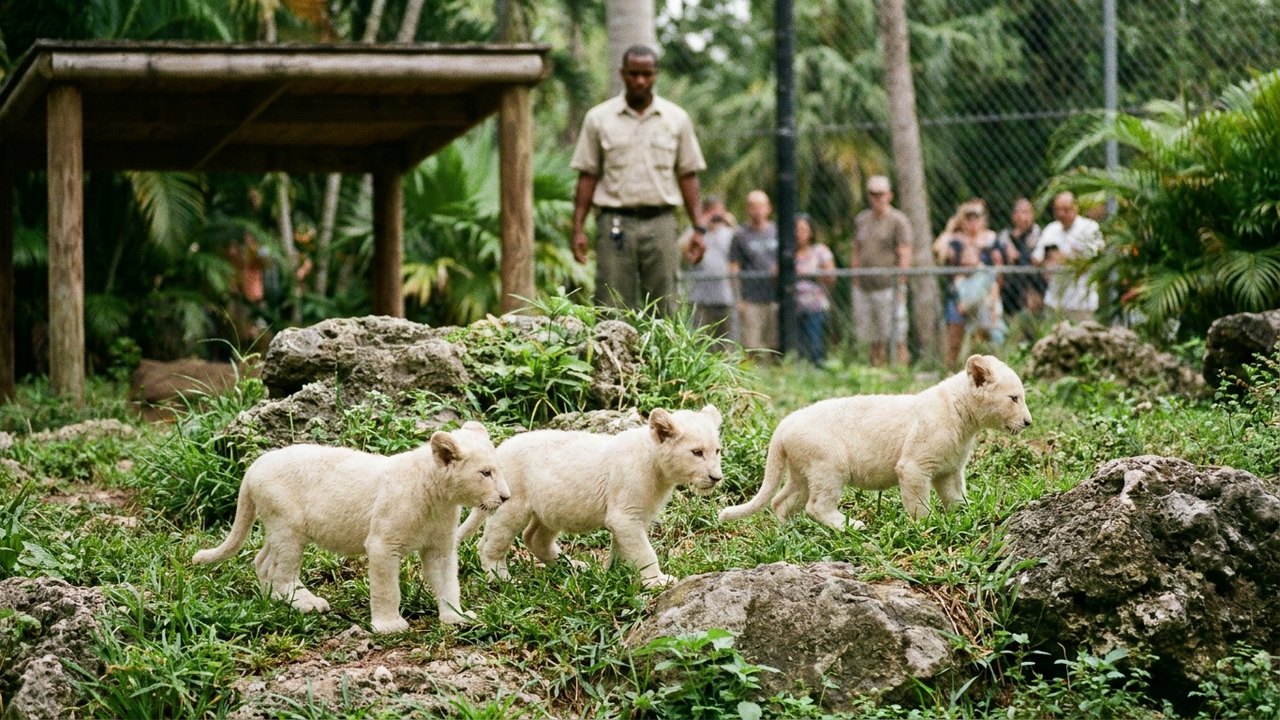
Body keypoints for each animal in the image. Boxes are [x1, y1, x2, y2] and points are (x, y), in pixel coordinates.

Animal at [192, 421, 508, 633]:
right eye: (485, 473)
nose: (506, 497)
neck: (440, 498)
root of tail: (254, 466)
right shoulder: (382, 543)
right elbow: (387, 588)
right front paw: (388, 625)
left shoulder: (440, 546)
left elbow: (447, 582)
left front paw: (456, 617)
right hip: (288, 528)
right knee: (279, 572)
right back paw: (307, 603)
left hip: (279, 527)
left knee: (262, 561)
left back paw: (276, 599)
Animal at [457, 406, 724, 588]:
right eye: (696, 452)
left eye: (717, 450)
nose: (716, 477)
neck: (657, 468)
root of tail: (498, 451)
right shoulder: (625, 514)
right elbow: (643, 550)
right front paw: (657, 580)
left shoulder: (631, 516)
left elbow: (623, 547)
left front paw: (614, 574)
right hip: (511, 503)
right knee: (490, 543)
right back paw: (501, 578)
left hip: (551, 507)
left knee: (534, 538)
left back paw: (574, 566)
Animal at [719, 354, 1031, 530]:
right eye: (1014, 398)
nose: (1028, 422)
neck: (964, 417)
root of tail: (783, 426)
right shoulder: (913, 466)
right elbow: (918, 502)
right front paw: (926, 526)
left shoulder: (949, 470)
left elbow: (956, 497)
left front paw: (965, 516)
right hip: (829, 464)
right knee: (817, 506)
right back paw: (852, 526)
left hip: (802, 471)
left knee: (781, 501)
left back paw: (789, 533)